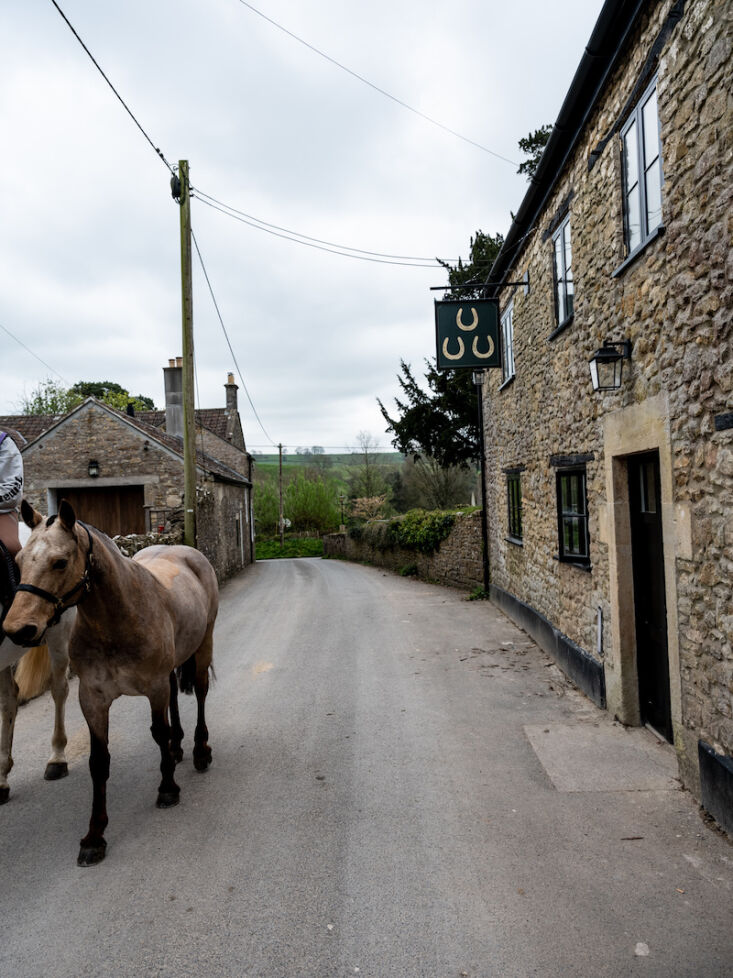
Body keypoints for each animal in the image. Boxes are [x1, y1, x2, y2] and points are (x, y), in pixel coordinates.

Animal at [4, 500, 219, 864]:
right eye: (19, 562)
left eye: (60, 562)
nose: (18, 629)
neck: (117, 620)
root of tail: (187, 550)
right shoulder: (93, 698)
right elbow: (99, 761)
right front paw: (94, 835)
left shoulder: (154, 688)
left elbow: (157, 732)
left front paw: (167, 789)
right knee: (176, 698)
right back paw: (177, 748)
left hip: (203, 645)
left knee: (201, 692)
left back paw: (200, 750)